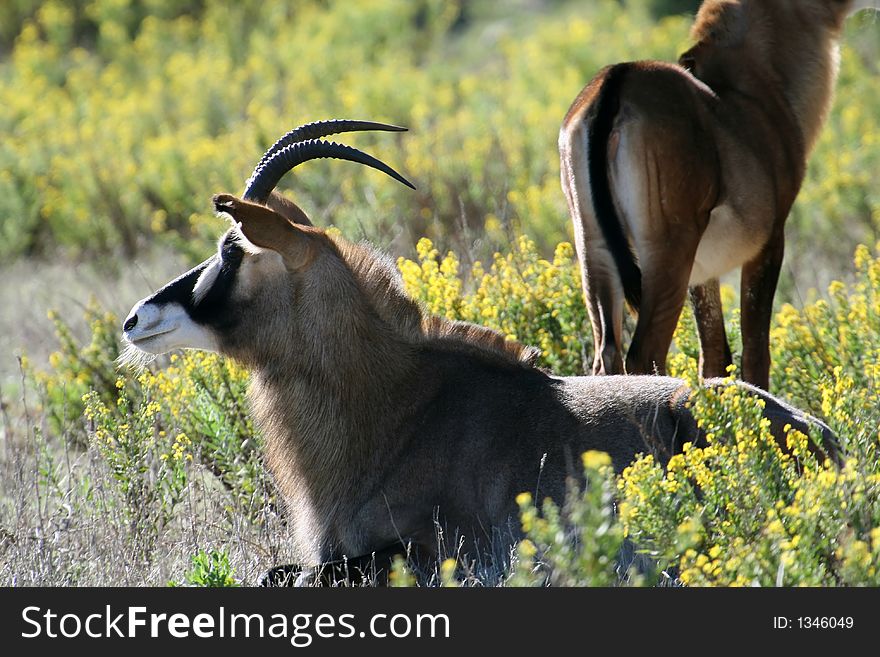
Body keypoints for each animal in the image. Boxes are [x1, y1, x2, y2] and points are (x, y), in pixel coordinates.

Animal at [120, 118, 836, 584]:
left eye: (232, 248)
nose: (134, 320)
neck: (398, 406)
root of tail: (821, 434)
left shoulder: (439, 552)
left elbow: (293, 578)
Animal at [560, 0, 876, 390]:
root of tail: (620, 79)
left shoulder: (702, 273)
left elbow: (713, 356)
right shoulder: (769, 243)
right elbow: (755, 354)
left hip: (594, 248)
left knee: (606, 355)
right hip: (668, 251)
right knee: (644, 354)